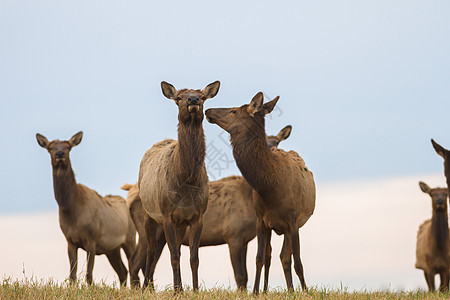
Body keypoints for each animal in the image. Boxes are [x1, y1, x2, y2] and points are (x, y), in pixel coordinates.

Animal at [35, 132, 135, 286]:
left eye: (68, 147)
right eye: (50, 148)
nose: (59, 153)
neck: (72, 210)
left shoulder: (92, 238)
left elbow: (89, 274)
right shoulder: (70, 240)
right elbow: (72, 275)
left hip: (130, 239)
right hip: (112, 249)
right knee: (123, 272)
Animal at [122, 125, 292, 288]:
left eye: (277, 142)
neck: (248, 201)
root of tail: (129, 192)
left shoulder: (244, 239)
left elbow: (245, 277)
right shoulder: (233, 233)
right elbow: (240, 276)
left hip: (161, 234)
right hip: (147, 228)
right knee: (135, 261)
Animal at [138, 79, 221, 290]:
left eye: (202, 97)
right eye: (178, 98)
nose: (192, 100)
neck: (186, 183)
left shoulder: (197, 216)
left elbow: (194, 258)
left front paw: (194, 290)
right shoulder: (167, 215)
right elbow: (173, 256)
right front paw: (176, 291)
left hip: (180, 223)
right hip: (148, 213)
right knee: (151, 250)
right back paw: (146, 287)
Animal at [205, 92, 314, 294]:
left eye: (233, 111)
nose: (208, 110)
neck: (271, 189)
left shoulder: (293, 221)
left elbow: (298, 262)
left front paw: (305, 292)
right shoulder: (261, 220)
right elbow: (259, 258)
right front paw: (256, 292)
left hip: (292, 226)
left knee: (286, 257)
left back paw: (292, 290)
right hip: (273, 227)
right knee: (274, 256)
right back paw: (274, 289)